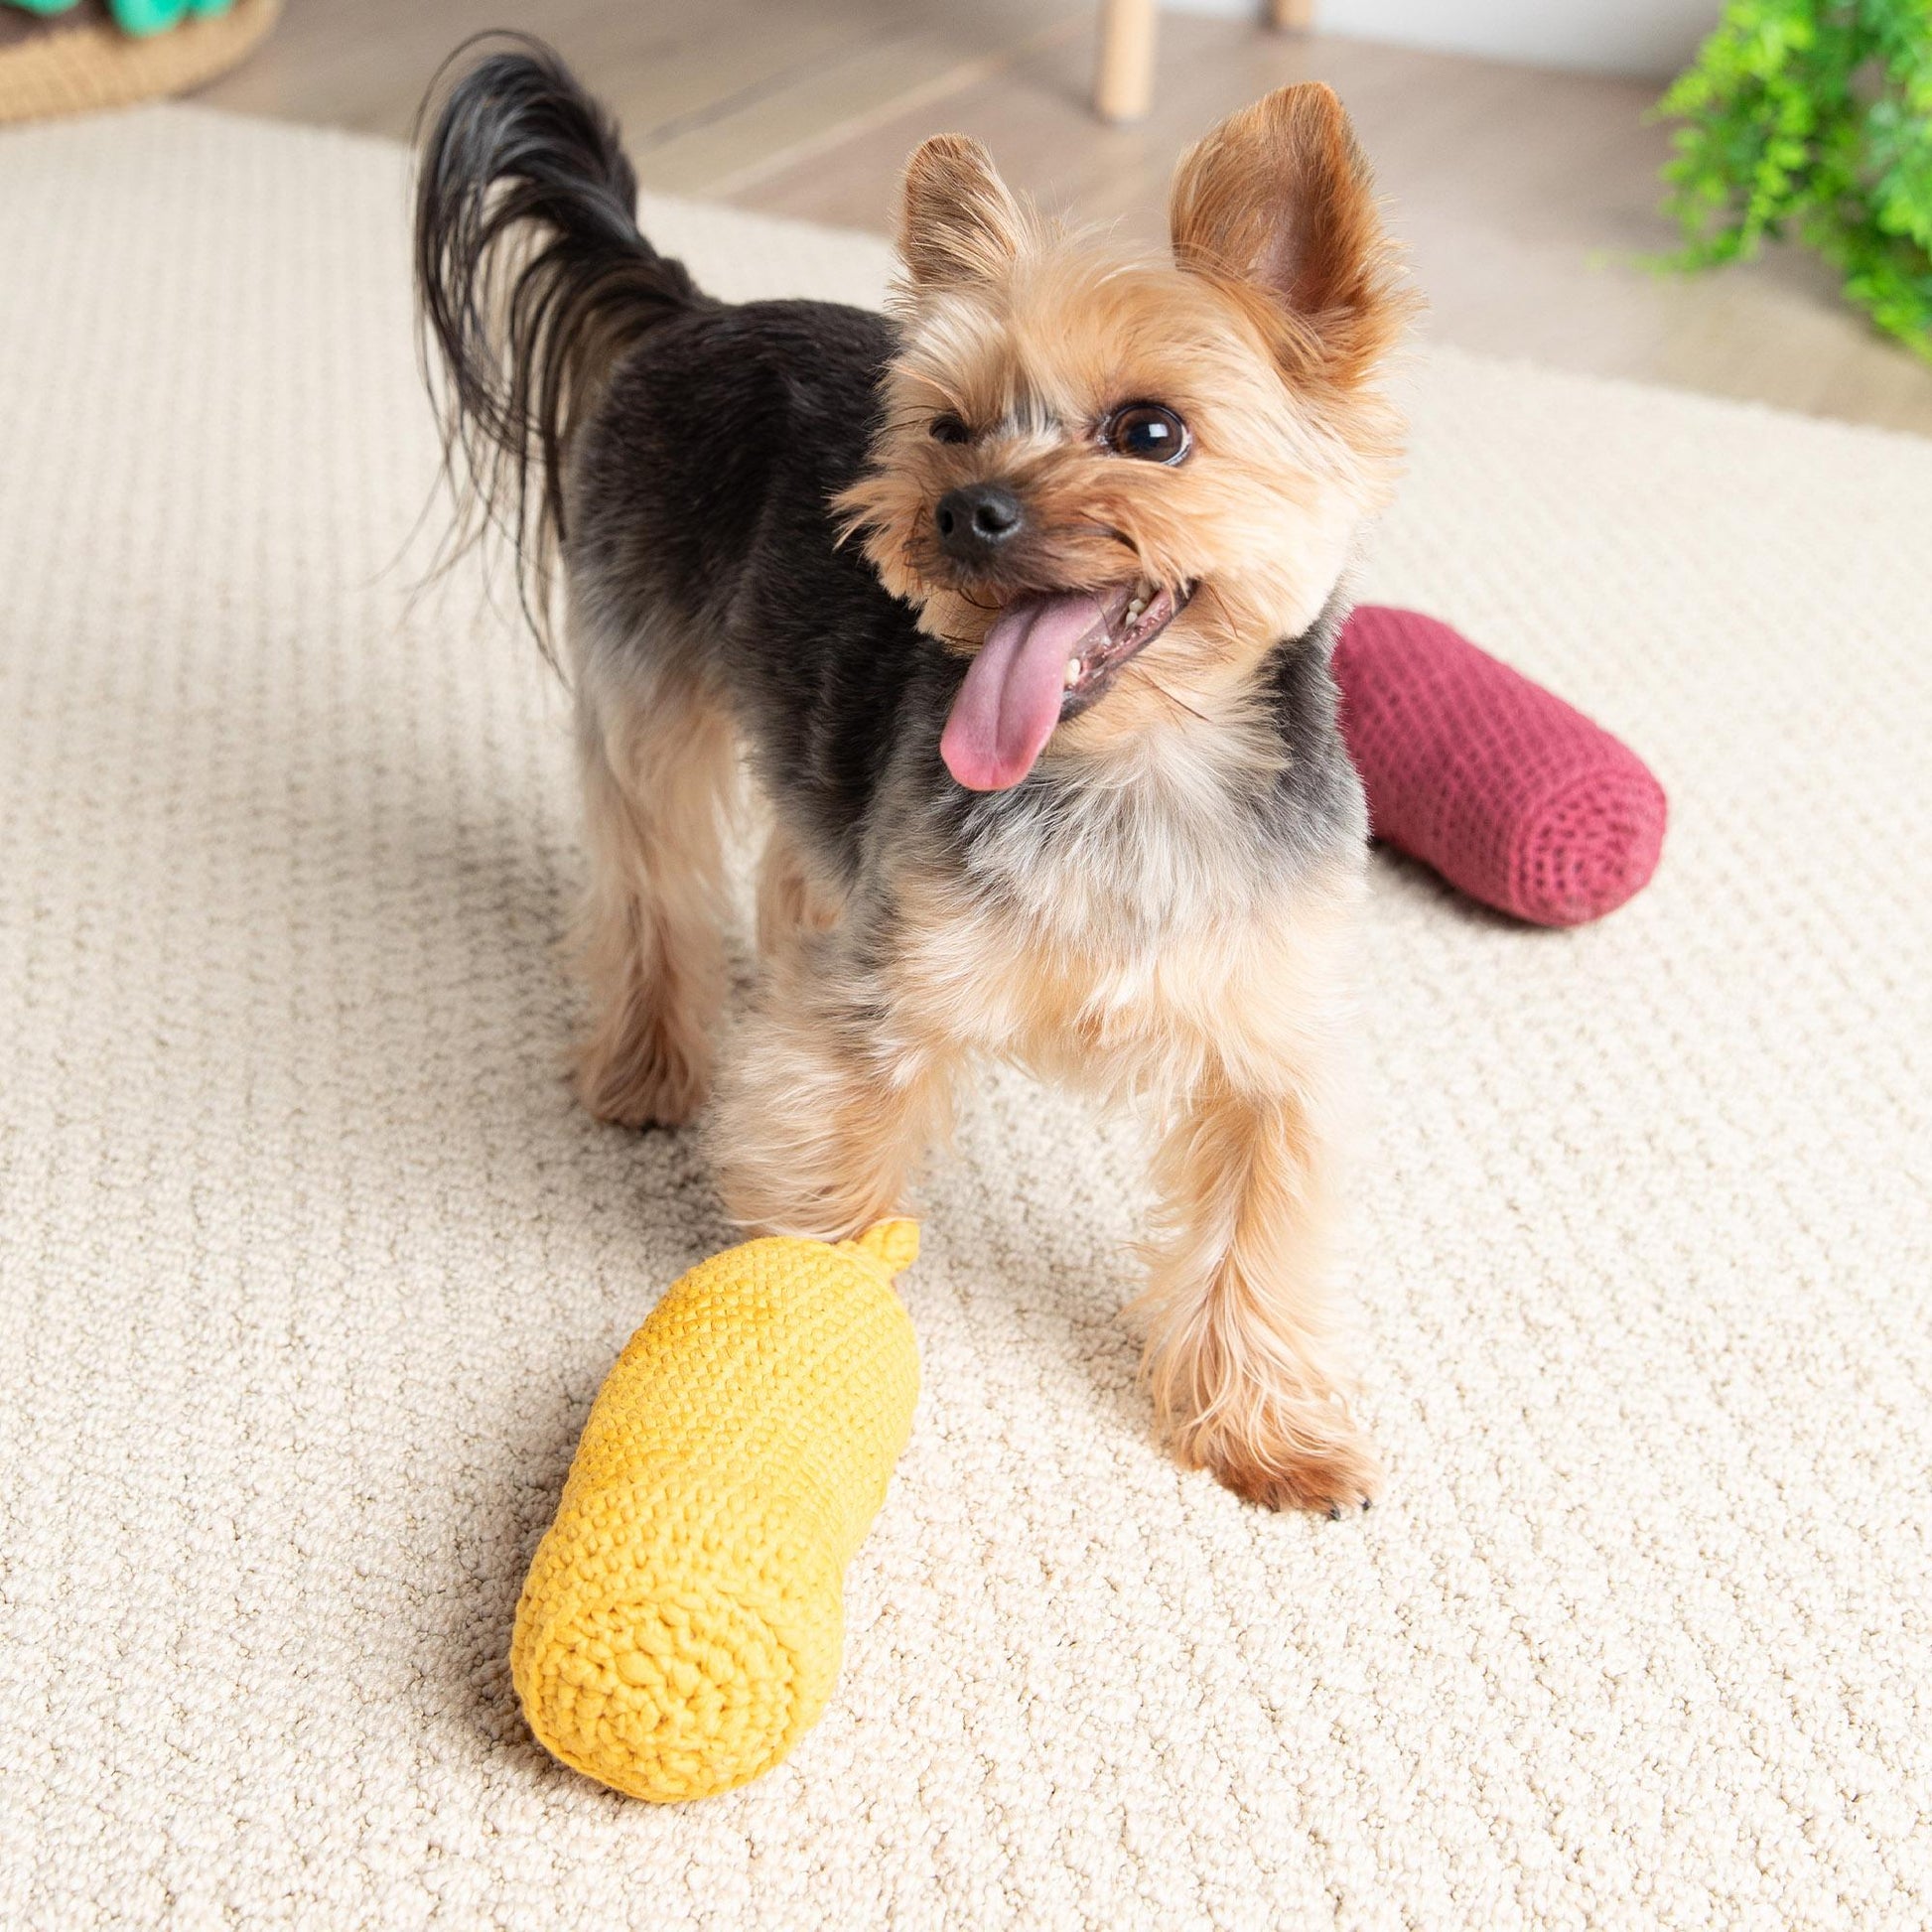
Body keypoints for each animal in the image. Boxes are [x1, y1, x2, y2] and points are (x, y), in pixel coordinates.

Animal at [415, 34, 1414, 1506]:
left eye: (1151, 432)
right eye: (951, 426)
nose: (962, 510)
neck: (1129, 777)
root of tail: (692, 305)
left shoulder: (1266, 1045)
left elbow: (1253, 1236)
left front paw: (1266, 1433)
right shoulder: (886, 1004)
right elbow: (827, 1191)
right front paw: (786, 1360)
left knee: (789, 852)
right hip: (644, 686)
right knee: (649, 873)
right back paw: (647, 1062)